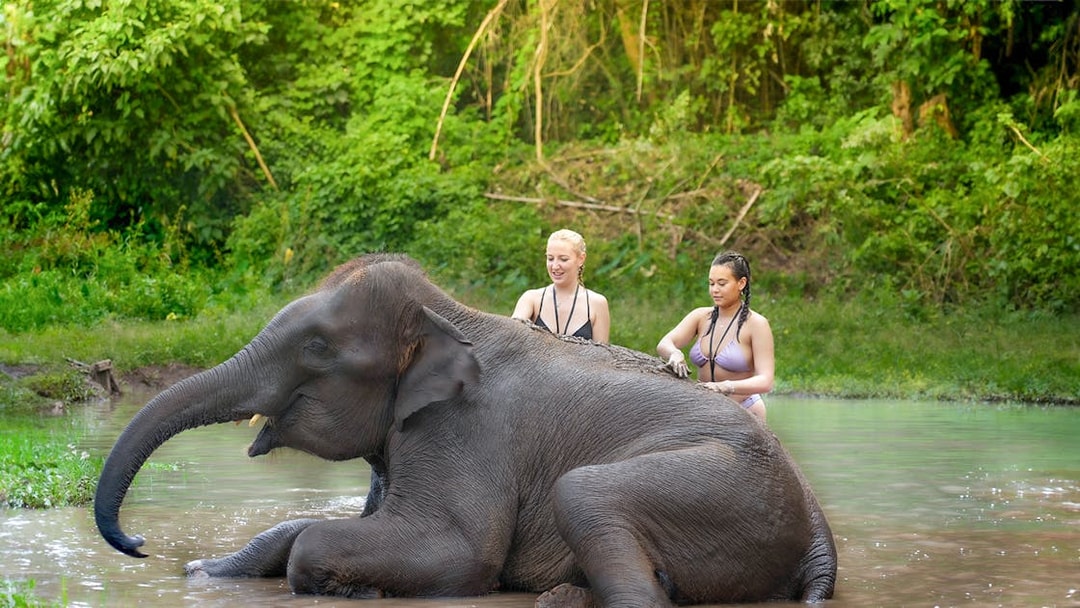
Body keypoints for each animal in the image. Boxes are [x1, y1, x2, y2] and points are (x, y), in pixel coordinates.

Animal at [94, 253, 837, 606]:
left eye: (317, 348)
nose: (139, 544)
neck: (449, 312)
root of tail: (817, 529)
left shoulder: (464, 432)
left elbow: (457, 554)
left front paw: (356, 587)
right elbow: (304, 527)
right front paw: (206, 571)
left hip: (726, 489)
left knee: (585, 497)